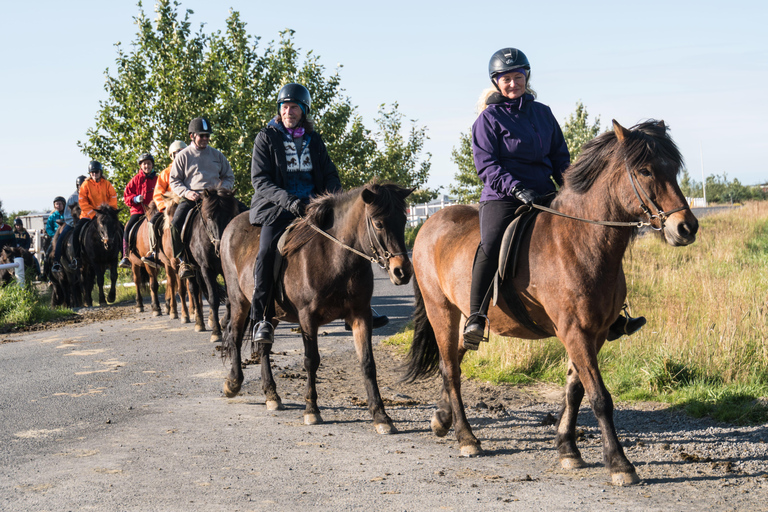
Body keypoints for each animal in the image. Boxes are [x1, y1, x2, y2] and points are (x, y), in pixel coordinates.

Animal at [404, 119, 700, 484]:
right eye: (644, 170)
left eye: (673, 168)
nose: (686, 228)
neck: (579, 242)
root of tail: (429, 224)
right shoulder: (574, 331)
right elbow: (600, 397)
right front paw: (619, 464)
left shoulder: (593, 333)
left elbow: (575, 390)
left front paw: (568, 450)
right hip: (441, 310)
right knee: (450, 369)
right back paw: (466, 438)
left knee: (455, 358)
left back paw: (441, 418)